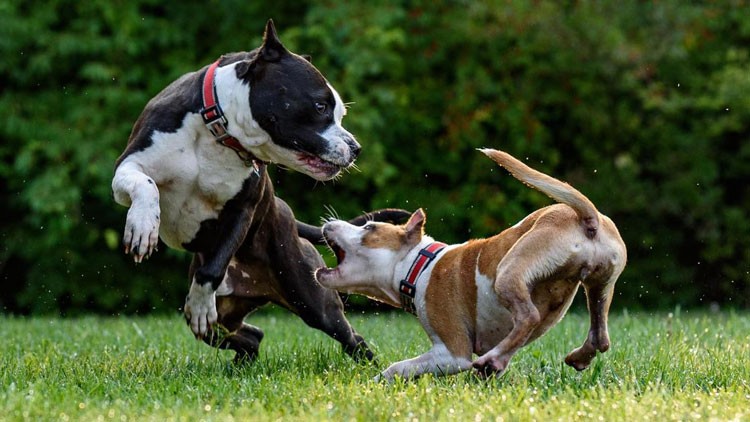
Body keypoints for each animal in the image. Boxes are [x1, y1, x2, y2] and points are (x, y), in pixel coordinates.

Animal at [111, 20, 402, 362]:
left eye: (340, 113)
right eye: (320, 106)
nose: (356, 148)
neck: (218, 131)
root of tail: (286, 211)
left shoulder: (243, 210)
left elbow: (212, 269)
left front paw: (200, 303)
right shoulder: (129, 165)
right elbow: (145, 185)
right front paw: (143, 226)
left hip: (312, 299)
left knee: (349, 336)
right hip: (226, 317)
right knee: (249, 335)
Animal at [316, 148, 628, 380]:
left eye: (368, 228)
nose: (328, 222)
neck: (419, 264)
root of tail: (588, 218)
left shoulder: (452, 353)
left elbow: (398, 368)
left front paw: (377, 382)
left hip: (510, 271)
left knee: (529, 316)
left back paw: (493, 358)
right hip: (599, 286)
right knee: (600, 336)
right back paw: (569, 357)